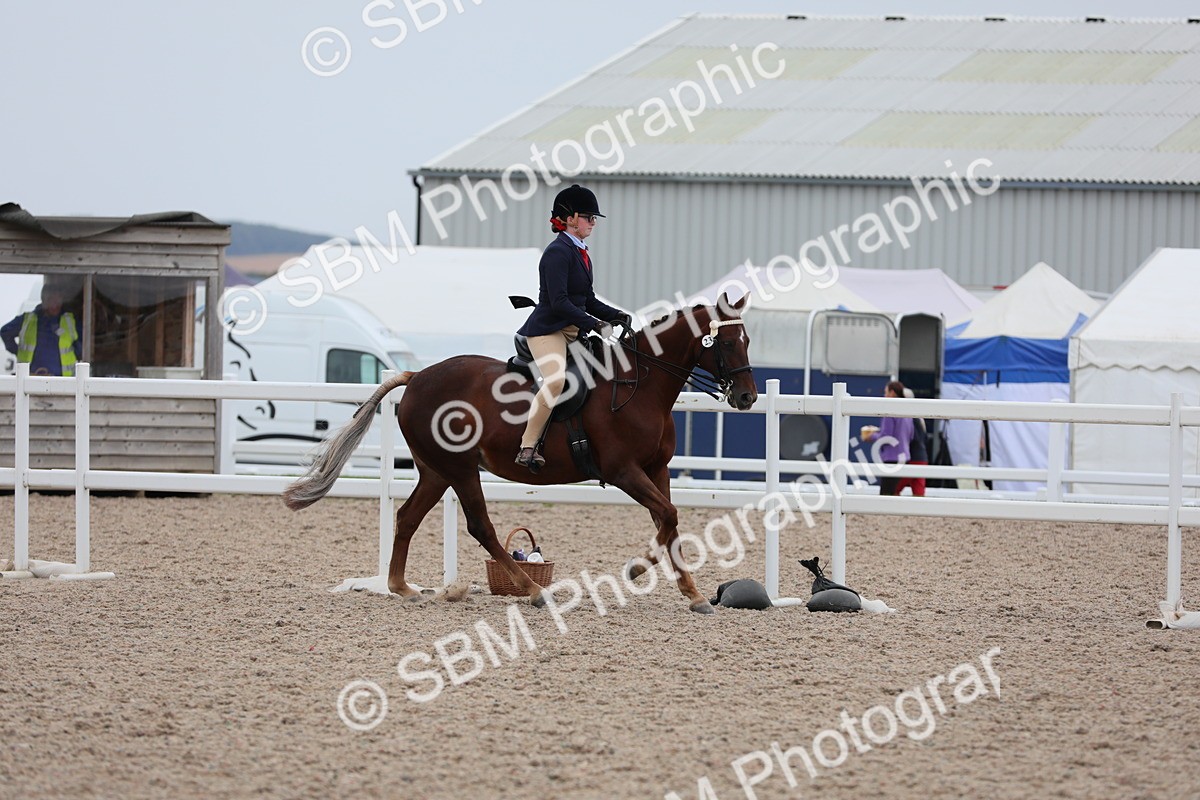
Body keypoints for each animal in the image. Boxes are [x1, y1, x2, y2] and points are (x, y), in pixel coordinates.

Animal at [283, 294, 757, 613]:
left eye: (747, 339)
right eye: (725, 343)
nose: (748, 397)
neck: (638, 384)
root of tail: (417, 376)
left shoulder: (656, 470)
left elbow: (669, 523)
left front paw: (692, 594)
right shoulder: (624, 471)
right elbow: (669, 518)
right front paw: (637, 570)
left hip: (436, 471)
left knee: (408, 517)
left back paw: (402, 587)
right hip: (459, 468)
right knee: (480, 526)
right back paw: (533, 590)